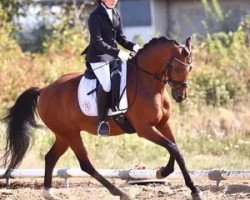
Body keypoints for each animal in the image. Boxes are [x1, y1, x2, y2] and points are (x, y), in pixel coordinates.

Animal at [0, 36, 202, 199]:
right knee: (85, 165)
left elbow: (175, 148)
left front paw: (165, 173)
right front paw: (192, 189)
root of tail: (43, 91)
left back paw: (49, 193)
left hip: (63, 135)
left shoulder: (162, 124)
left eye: (190, 67)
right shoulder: (145, 129)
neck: (149, 84)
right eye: (177, 67)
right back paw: (120, 193)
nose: (180, 96)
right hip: (70, 134)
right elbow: (173, 148)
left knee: (50, 157)